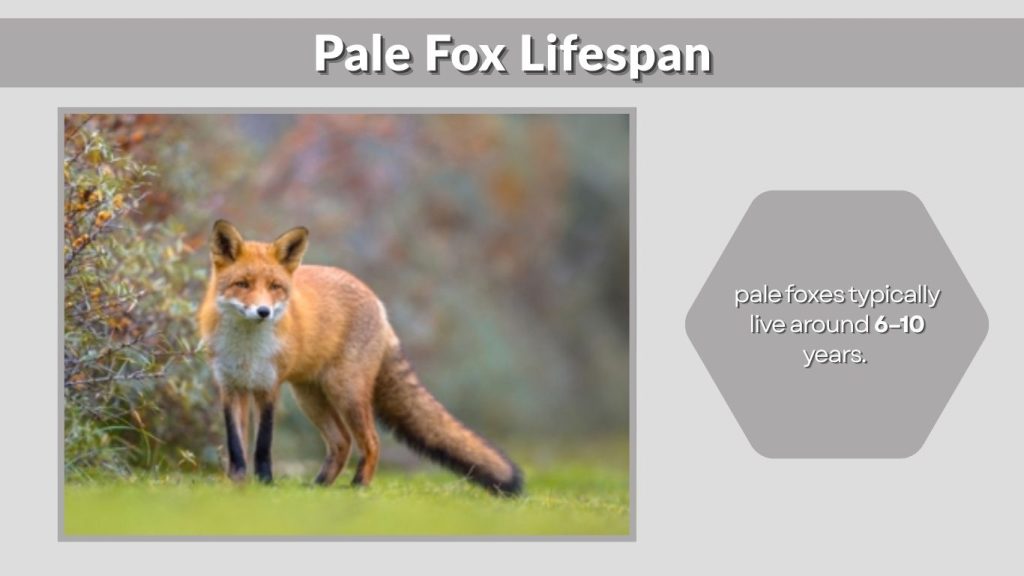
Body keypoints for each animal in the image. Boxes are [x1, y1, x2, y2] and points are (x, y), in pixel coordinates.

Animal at [198, 220, 523, 496]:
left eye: (275, 287)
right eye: (243, 284)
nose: (263, 312)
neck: (246, 350)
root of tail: (376, 300)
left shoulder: (268, 387)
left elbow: (263, 445)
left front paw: (265, 485)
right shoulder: (230, 387)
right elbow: (236, 446)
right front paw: (237, 486)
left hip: (346, 392)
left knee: (371, 441)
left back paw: (359, 488)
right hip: (311, 397)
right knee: (342, 442)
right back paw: (318, 488)